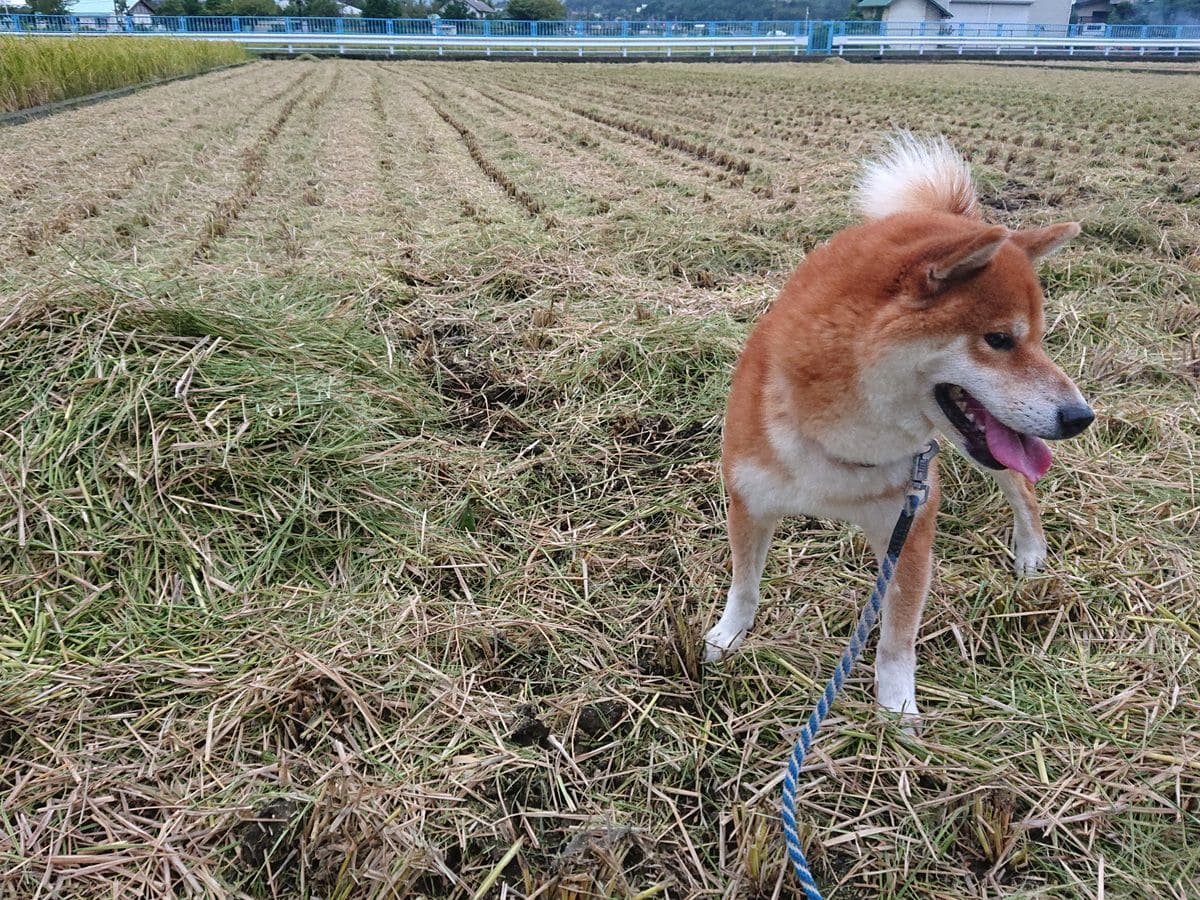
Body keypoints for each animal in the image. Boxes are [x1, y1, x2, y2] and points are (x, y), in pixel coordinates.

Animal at [705, 133, 1094, 724]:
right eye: (1000, 339)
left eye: (1039, 340)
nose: (1080, 417)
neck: (843, 437)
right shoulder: (749, 501)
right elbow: (744, 587)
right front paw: (728, 637)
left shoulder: (910, 526)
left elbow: (896, 636)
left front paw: (896, 708)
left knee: (1023, 489)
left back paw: (1030, 551)